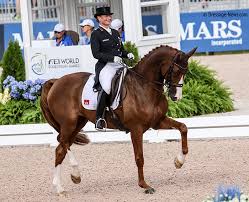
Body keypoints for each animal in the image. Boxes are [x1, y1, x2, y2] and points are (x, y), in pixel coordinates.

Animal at [40, 45, 196, 194]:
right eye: (176, 71)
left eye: (186, 71)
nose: (176, 97)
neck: (144, 86)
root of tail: (55, 82)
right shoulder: (136, 129)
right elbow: (139, 158)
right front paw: (144, 185)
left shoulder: (157, 122)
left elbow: (183, 127)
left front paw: (179, 162)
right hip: (69, 123)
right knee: (62, 146)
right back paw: (68, 181)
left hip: (78, 123)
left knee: (62, 147)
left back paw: (67, 182)